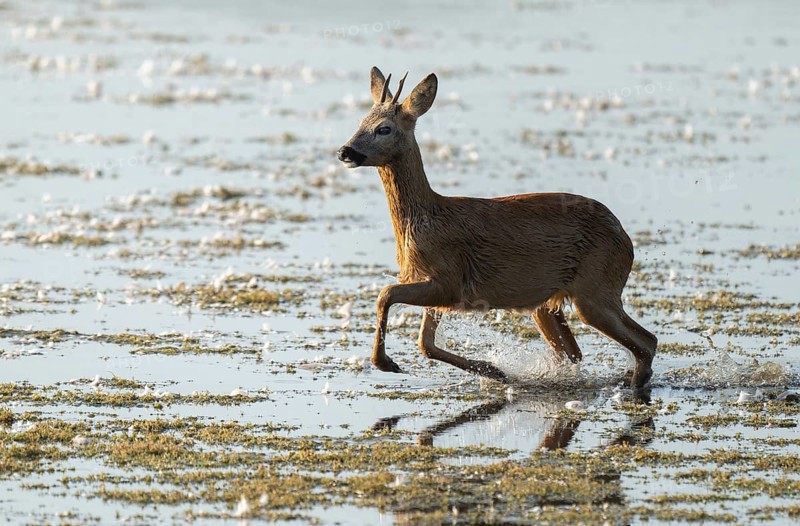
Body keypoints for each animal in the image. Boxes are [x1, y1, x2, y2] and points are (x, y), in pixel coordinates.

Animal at [337, 67, 657, 390]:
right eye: (360, 122)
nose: (345, 151)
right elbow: (425, 343)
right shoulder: (435, 285)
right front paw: (494, 370)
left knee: (647, 341)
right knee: (575, 353)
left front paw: (385, 363)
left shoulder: (449, 280)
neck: (423, 219)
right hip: (548, 303)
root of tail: (626, 240)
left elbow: (386, 294)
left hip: (595, 289)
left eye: (384, 128)